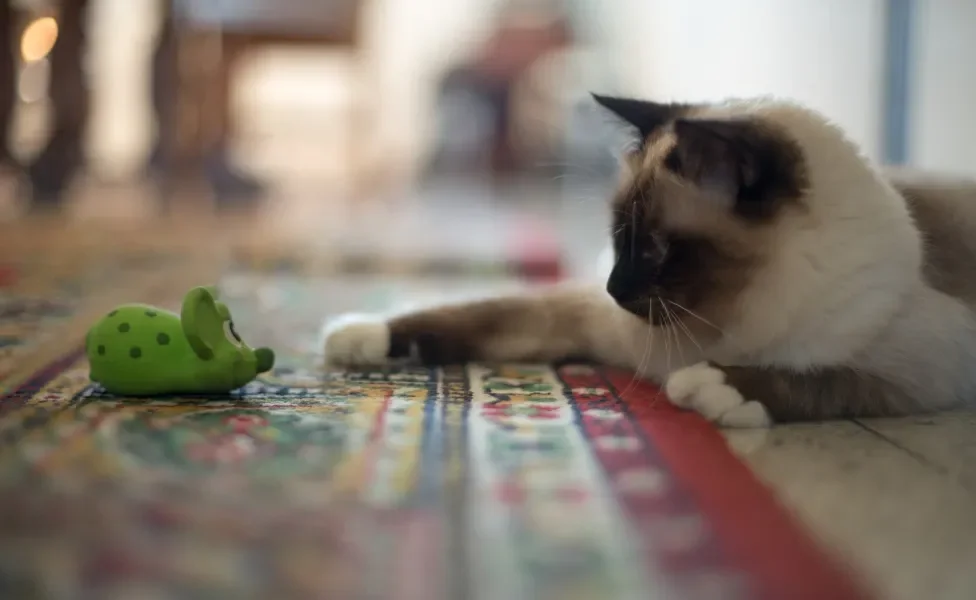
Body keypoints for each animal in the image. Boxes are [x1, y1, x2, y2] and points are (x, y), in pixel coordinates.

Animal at [322, 94, 976, 426]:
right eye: (616, 237)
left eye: (655, 248)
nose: (614, 288)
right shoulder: (585, 319)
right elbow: (480, 313)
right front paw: (362, 337)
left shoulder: (926, 370)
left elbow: (815, 382)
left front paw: (712, 388)